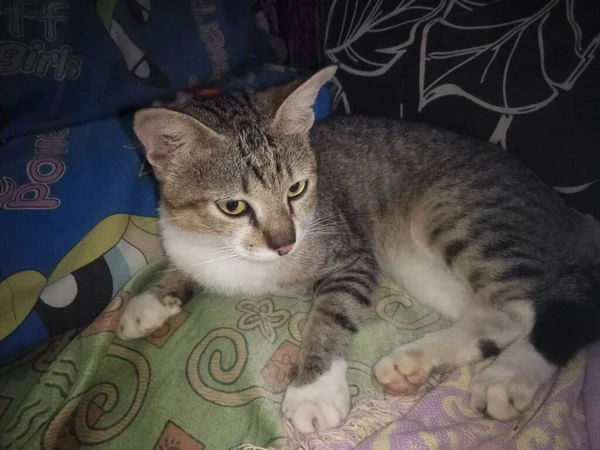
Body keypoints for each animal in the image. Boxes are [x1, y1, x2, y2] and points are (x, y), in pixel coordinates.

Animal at [118, 67, 600, 432]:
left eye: (296, 188)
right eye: (233, 206)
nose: (286, 244)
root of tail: (571, 216)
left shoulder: (352, 253)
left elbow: (331, 313)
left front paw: (313, 392)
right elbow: (184, 264)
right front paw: (151, 301)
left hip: (465, 213)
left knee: (532, 310)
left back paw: (508, 377)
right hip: (422, 266)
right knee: (494, 316)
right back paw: (413, 363)